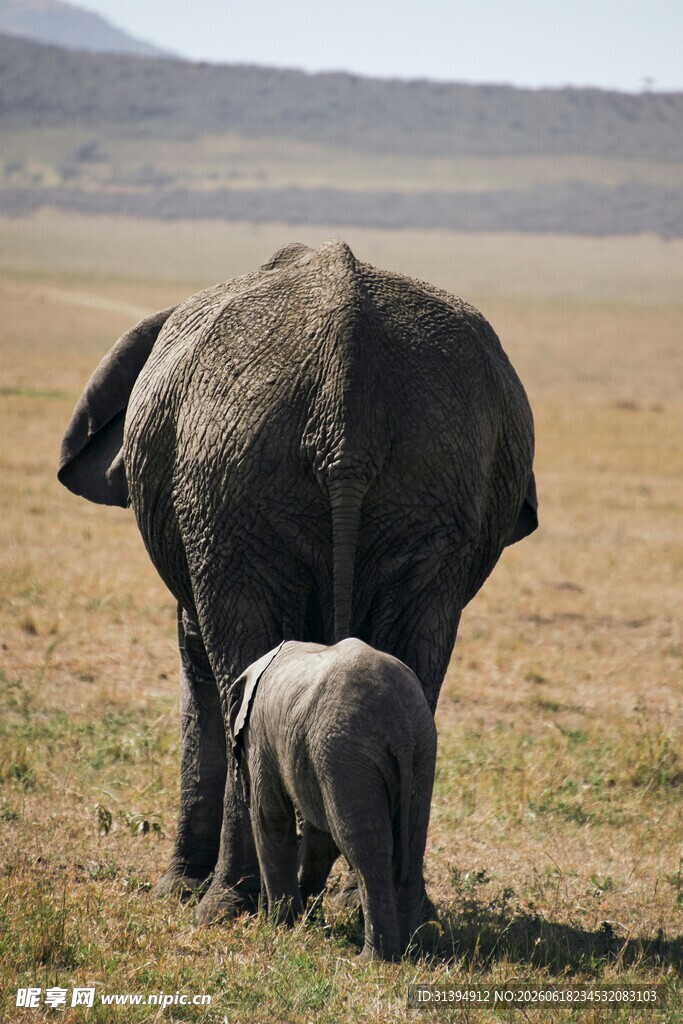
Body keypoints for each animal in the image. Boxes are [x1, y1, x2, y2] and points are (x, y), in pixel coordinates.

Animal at [58, 239, 537, 923]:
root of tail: (346, 384)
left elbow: (196, 664)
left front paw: (176, 892)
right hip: (434, 477)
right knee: (418, 666)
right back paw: (393, 913)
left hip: (228, 481)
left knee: (234, 667)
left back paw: (224, 906)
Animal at [227, 638, 437, 961]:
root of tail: (399, 725)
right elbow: (320, 838)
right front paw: (307, 922)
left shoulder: (260, 737)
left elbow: (272, 819)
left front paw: (281, 928)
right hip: (420, 748)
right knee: (412, 844)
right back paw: (412, 949)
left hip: (343, 752)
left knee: (364, 846)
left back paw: (373, 959)